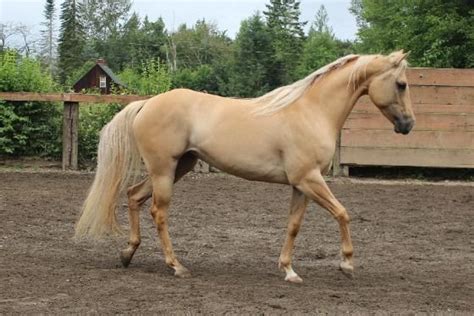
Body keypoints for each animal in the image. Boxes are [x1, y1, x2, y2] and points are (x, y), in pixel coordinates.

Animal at [76, 50, 412, 282]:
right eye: (401, 84)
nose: (408, 125)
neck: (312, 111)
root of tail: (147, 103)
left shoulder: (301, 184)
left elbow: (294, 225)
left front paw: (289, 270)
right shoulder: (310, 179)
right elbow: (343, 213)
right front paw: (347, 264)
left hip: (179, 167)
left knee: (133, 196)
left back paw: (127, 254)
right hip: (164, 171)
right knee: (158, 212)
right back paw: (177, 266)